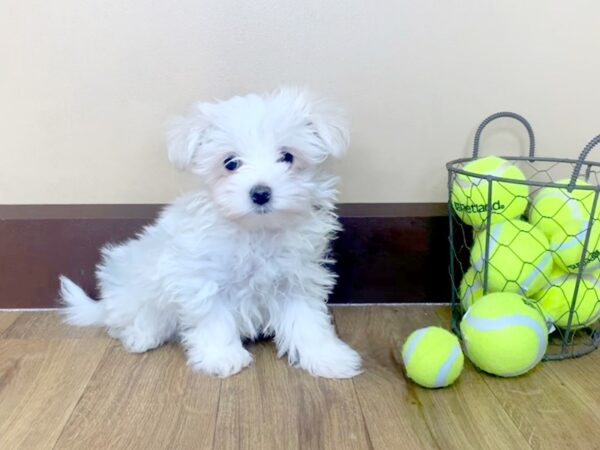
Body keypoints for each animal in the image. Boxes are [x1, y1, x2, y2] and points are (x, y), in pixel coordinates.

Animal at [59, 86, 360, 378]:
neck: (256, 231)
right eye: (230, 163)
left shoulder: (297, 279)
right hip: (136, 286)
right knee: (129, 318)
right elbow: (214, 318)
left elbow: (307, 321)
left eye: (287, 157)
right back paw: (140, 335)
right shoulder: (203, 278)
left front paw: (327, 357)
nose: (260, 193)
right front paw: (222, 357)